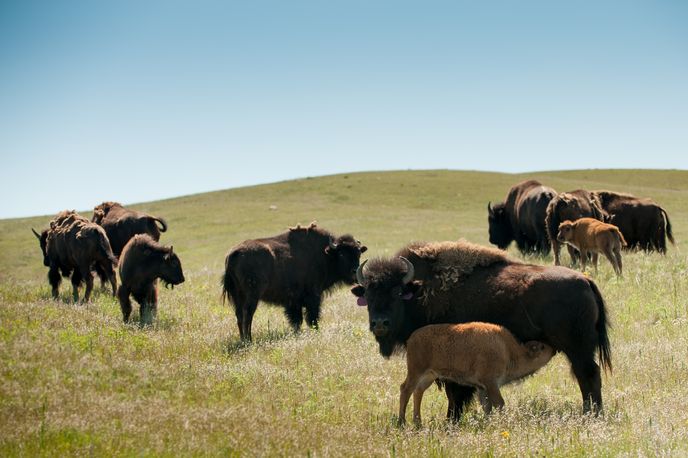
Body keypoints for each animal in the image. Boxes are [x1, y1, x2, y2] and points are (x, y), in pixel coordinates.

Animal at [222, 223, 367, 341]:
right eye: (342, 254)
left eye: (358, 253)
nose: (355, 272)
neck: (325, 254)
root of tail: (234, 253)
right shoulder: (313, 297)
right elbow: (312, 317)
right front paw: (315, 332)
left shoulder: (293, 301)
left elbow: (297, 320)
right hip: (252, 295)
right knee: (248, 314)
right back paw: (249, 340)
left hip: (238, 296)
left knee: (239, 315)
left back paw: (243, 340)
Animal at [352, 239, 611, 420]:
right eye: (369, 294)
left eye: (397, 292)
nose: (380, 323)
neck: (421, 290)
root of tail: (585, 281)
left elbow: (455, 394)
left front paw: (451, 420)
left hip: (578, 349)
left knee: (588, 375)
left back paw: (592, 413)